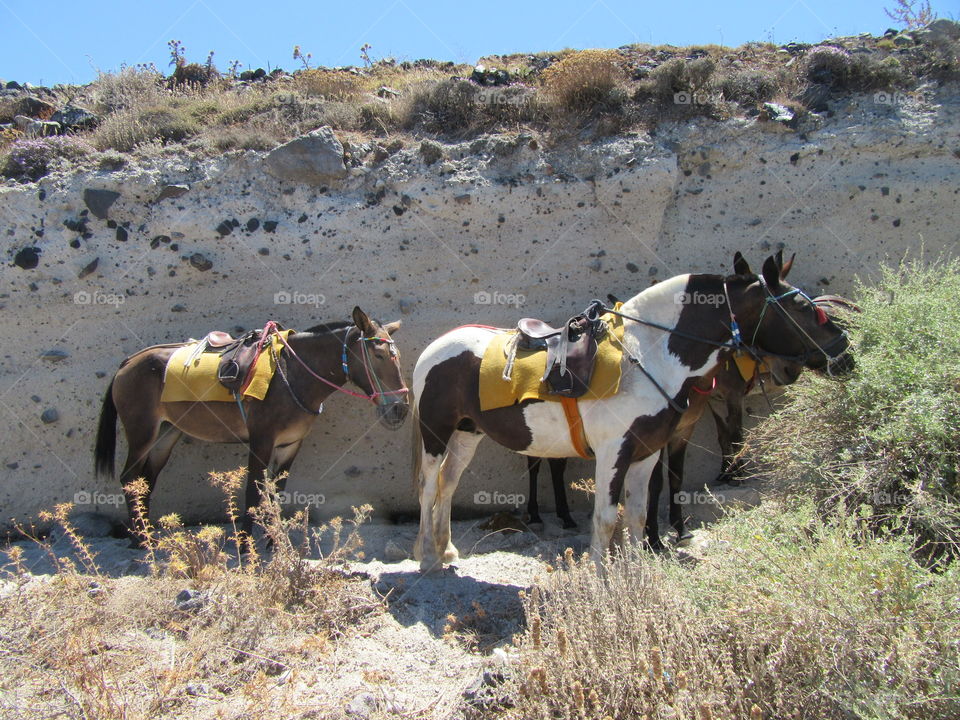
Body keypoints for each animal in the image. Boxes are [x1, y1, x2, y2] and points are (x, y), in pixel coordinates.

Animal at [408, 256, 852, 572]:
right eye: (801, 305)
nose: (844, 353)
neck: (646, 355)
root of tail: (436, 346)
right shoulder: (613, 453)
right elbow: (606, 519)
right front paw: (601, 580)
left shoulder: (647, 452)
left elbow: (638, 515)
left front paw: (636, 575)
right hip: (436, 433)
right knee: (429, 487)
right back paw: (427, 557)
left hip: (467, 433)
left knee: (448, 484)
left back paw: (447, 549)